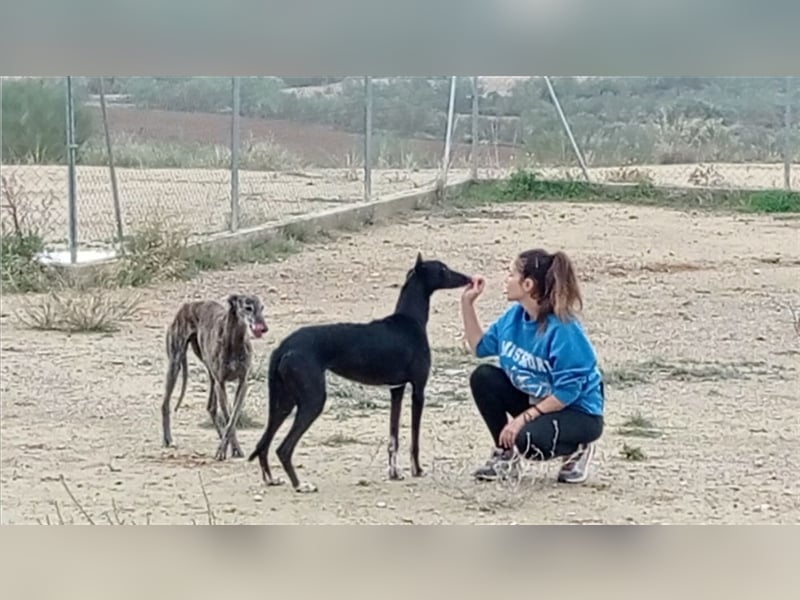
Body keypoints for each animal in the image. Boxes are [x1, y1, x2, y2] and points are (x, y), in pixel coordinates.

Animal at [248, 253, 476, 492]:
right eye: (443, 269)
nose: (468, 278)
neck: (410, 320)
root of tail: (284, 346)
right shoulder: (418, 389)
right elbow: (414, 437)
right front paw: (417, 470)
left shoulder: (396, 390)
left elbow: (393, 438)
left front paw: (394, 473)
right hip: (312, 400)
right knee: (283, 448)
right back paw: (300, 485)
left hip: (283, 401)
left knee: (263, 443)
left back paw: (271, 479)